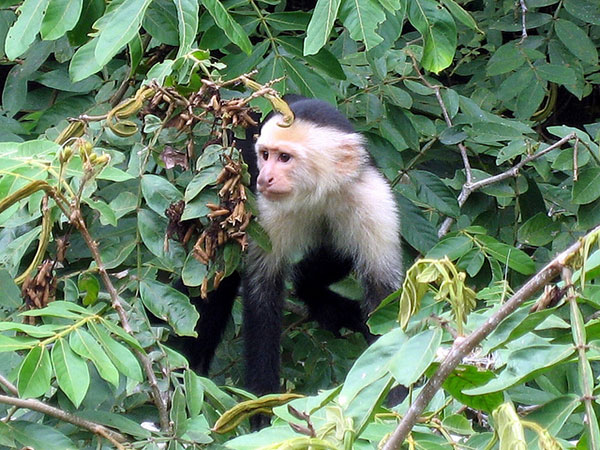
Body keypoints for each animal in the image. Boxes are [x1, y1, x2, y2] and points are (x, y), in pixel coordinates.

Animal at [183, 96, 404, 426]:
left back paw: (319, 298)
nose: (265, 177)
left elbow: (383, 303)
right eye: (266, 155)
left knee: (335, 252)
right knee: (220, 271)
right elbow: (262, 292)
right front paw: (262, 409)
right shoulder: (266, 209)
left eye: (285, 158)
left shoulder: (372, 200)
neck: (318, 193)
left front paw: (398, 403)